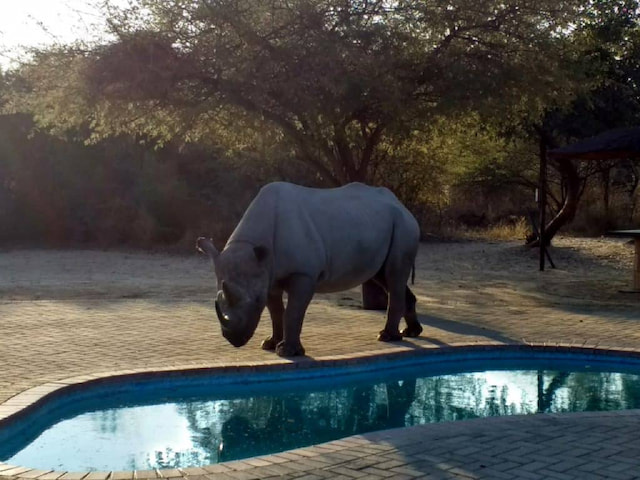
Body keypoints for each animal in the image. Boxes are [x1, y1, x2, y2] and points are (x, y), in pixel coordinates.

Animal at [197, 181, 422, 357]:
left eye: (257, 301)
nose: (233, 339)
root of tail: (401, 205)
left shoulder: (303, 274)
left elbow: (293, 312)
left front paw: (286, 351)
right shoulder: (269, 275)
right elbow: (275, 311)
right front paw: (270, 343)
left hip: (403, 225)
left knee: (394, 274)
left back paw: (387, 337)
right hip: (378, 223)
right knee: (384, 277)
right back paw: (411, 332)